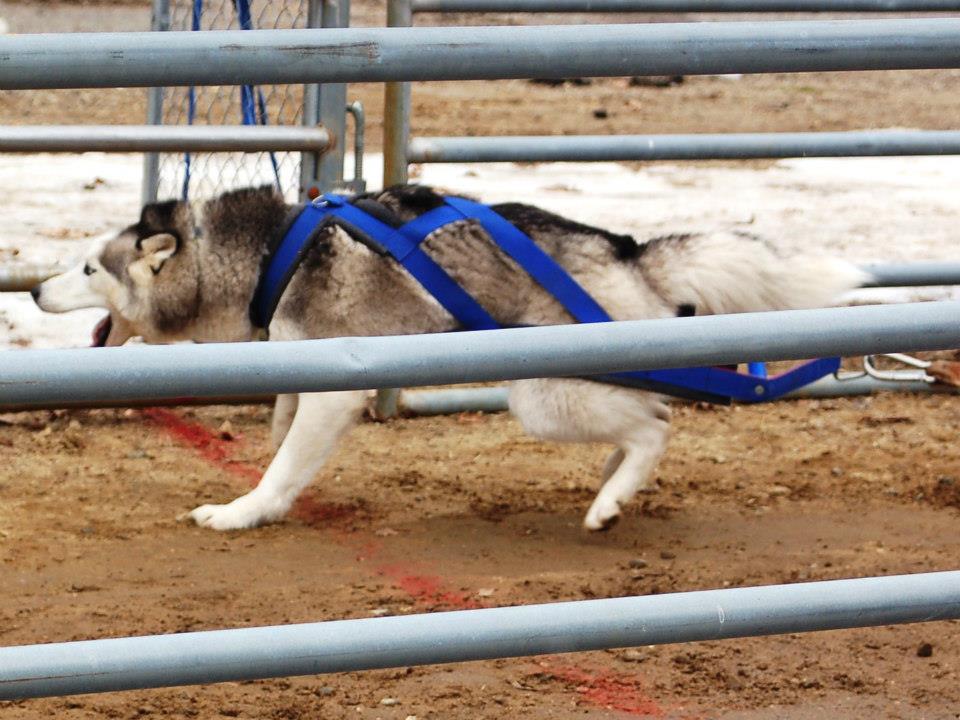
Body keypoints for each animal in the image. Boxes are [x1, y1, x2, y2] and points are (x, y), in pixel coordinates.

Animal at [33, 186, 868, 532]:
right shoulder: (299, 365)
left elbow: (285, 466)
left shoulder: (338, 387)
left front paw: (245, 513)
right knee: (644, 415)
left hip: (543, 393)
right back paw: (613, 488)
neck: (266, 257)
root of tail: (624, 248)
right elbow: (280, 429)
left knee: (656, 423)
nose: (35, 290)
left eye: (88, 267)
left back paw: (609, 500)